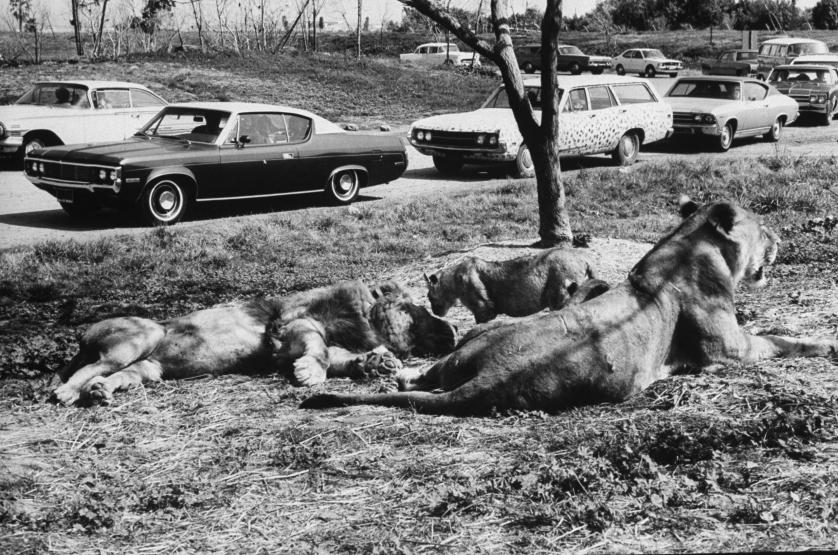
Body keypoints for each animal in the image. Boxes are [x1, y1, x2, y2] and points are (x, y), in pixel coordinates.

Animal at [52, 282, 460, 404]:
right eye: (420, 310)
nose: (453, 329)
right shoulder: (290, 325)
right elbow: (319, 349)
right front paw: (309, 374)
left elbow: (340, 358)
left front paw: (375, 363)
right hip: (144, 333)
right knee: (88, 369)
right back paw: (68, 393)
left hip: (149, 368)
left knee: (115, 375)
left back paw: (101, 392)